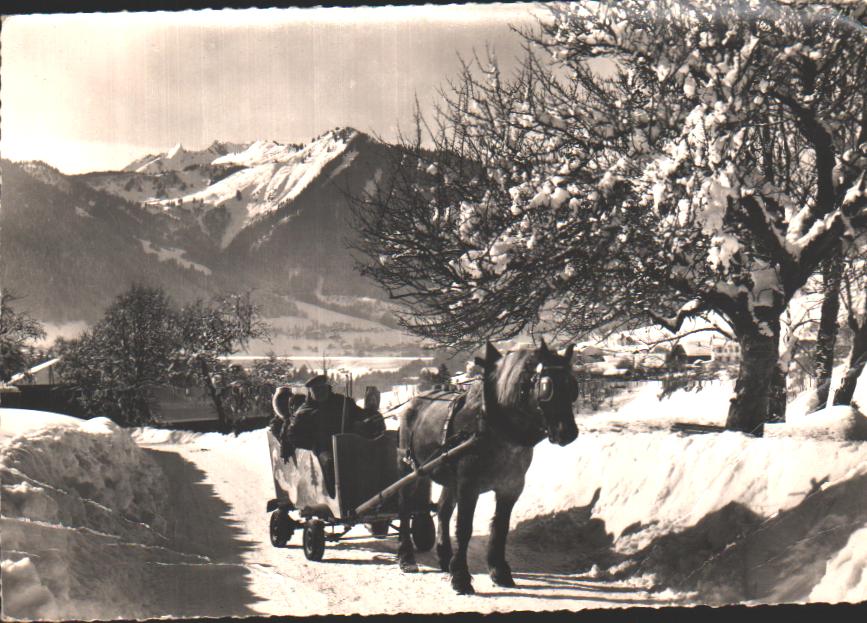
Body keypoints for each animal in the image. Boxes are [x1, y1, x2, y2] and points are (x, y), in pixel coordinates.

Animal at [396, 342, 580, 596]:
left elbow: (500, 527)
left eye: (573, 387)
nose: (568, 433)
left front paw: (499, 571)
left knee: (443, 511)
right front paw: (461, 578)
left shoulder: (510, 487)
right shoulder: (468, 486)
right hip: (410, 469)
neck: (494, 428)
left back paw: (445, 558)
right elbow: (464, 528)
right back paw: (406, 557)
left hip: (449, 477)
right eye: (547, 387)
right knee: (405, 509)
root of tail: (414, 402)